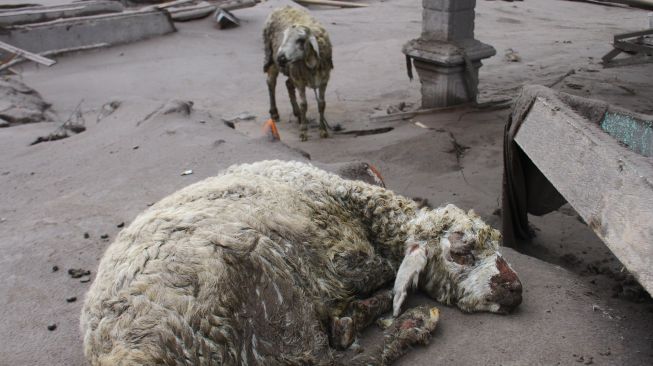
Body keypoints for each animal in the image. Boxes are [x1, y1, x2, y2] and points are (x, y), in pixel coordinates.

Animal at [81, 161, 524, 366]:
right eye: (460, 253)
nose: (515, 291)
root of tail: (130, 353)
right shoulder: (344, 258)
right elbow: (380, 271)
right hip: (268, 291)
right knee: (329, 354)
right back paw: (406, 324)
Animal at [262, 7, 332, 142]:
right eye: (284, 37)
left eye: (300, 40)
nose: (280, 58)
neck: (311, 62)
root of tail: (282, 6)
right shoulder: (300, 81)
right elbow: (304, 104)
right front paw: (303, 132)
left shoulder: (324, 80)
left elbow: (322, 104)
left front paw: (323, 130)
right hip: (272, 59)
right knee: (271, 82)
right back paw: (275, 113)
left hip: (291, 70)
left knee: (288, 84)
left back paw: (297, 114)